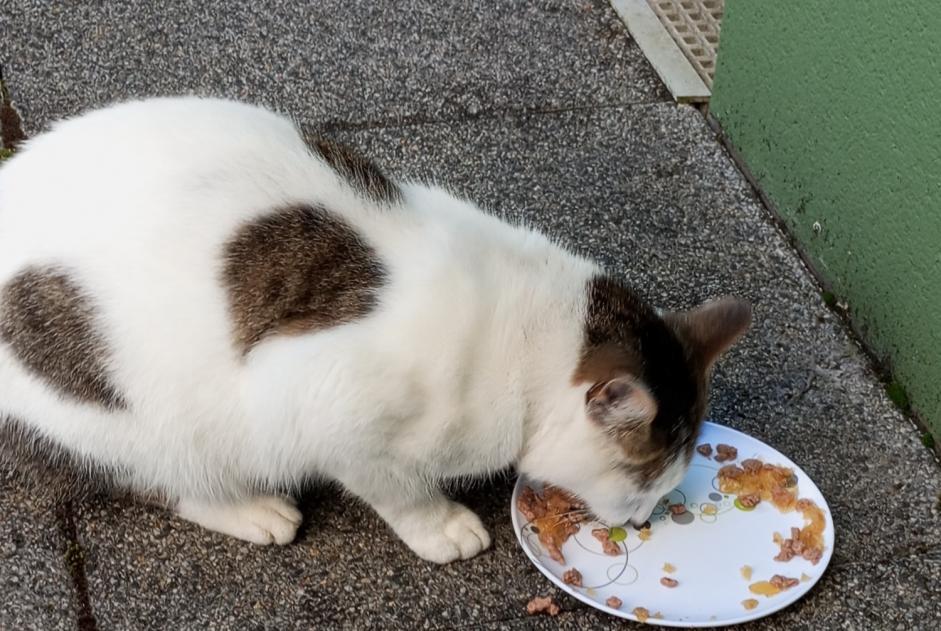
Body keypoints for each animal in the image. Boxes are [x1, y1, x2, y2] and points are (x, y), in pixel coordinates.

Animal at [0, 97, 748, 564]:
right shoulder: (312, 400)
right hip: (130, 419)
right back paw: (250, 507)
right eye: (645, 481)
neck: (530, 336)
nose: (645, 519)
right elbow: (394, 485)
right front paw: (440, 525)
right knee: (161, 474)